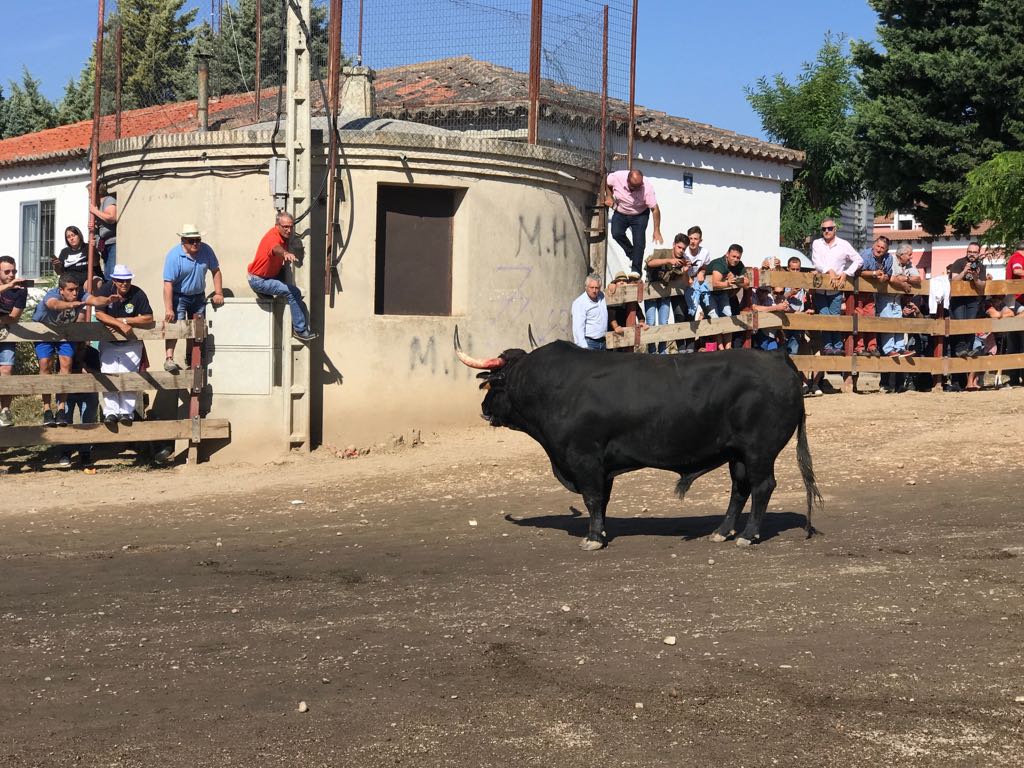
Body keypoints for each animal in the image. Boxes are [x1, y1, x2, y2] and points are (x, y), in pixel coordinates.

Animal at [456, 333, 823, 548]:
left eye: (494, 384)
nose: (483, 409)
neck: (552, 386)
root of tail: (777, 359)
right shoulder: (600, 466)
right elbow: (602, 500)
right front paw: (601, 532)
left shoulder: (585, 458)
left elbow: (592, 498)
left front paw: (592, 538)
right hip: (738, 453)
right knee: (740, 488)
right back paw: (722, 532)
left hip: (759, 451)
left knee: (762, 487)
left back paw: (747, 536)